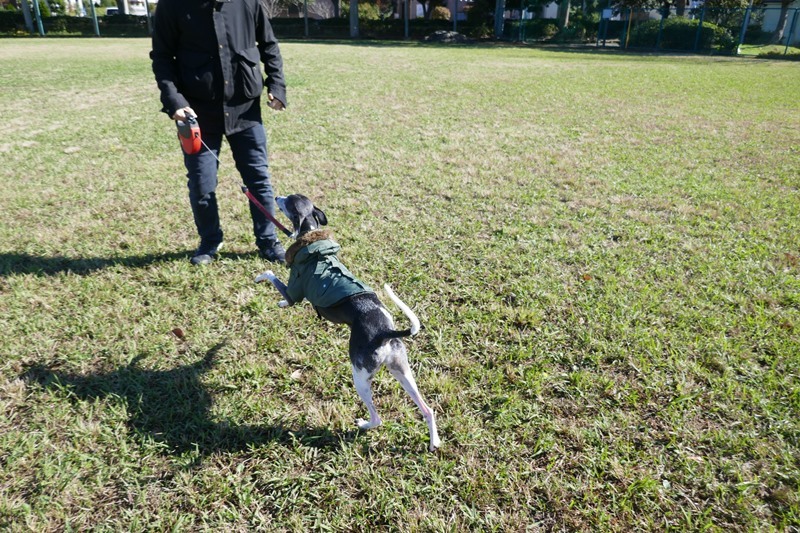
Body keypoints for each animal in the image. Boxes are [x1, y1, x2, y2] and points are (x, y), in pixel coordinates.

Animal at [255, 193, 440, 450]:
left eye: (289, 201)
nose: (276, 196)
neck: (313, 243)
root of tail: (385, 333)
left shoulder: (294, 292)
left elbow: (272, 276)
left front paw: (262, 280)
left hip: (360, 377)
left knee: (377, 418)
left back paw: (364, 424)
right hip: (401, 370)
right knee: (428, 409)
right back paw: (434, 442)